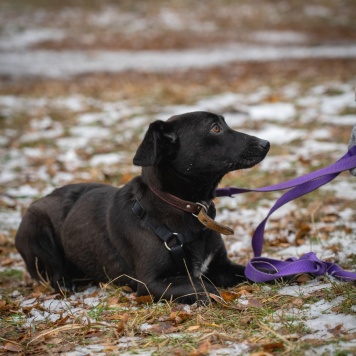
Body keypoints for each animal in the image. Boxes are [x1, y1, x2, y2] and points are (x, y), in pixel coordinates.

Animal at [15, 111, 268, 304]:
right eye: (215, 128)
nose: (266, 143)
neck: (184, 207)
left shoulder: (221, 266)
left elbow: (262, 270)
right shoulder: (151, 282)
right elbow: (201, 286)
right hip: (36, 227)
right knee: (54, 274)